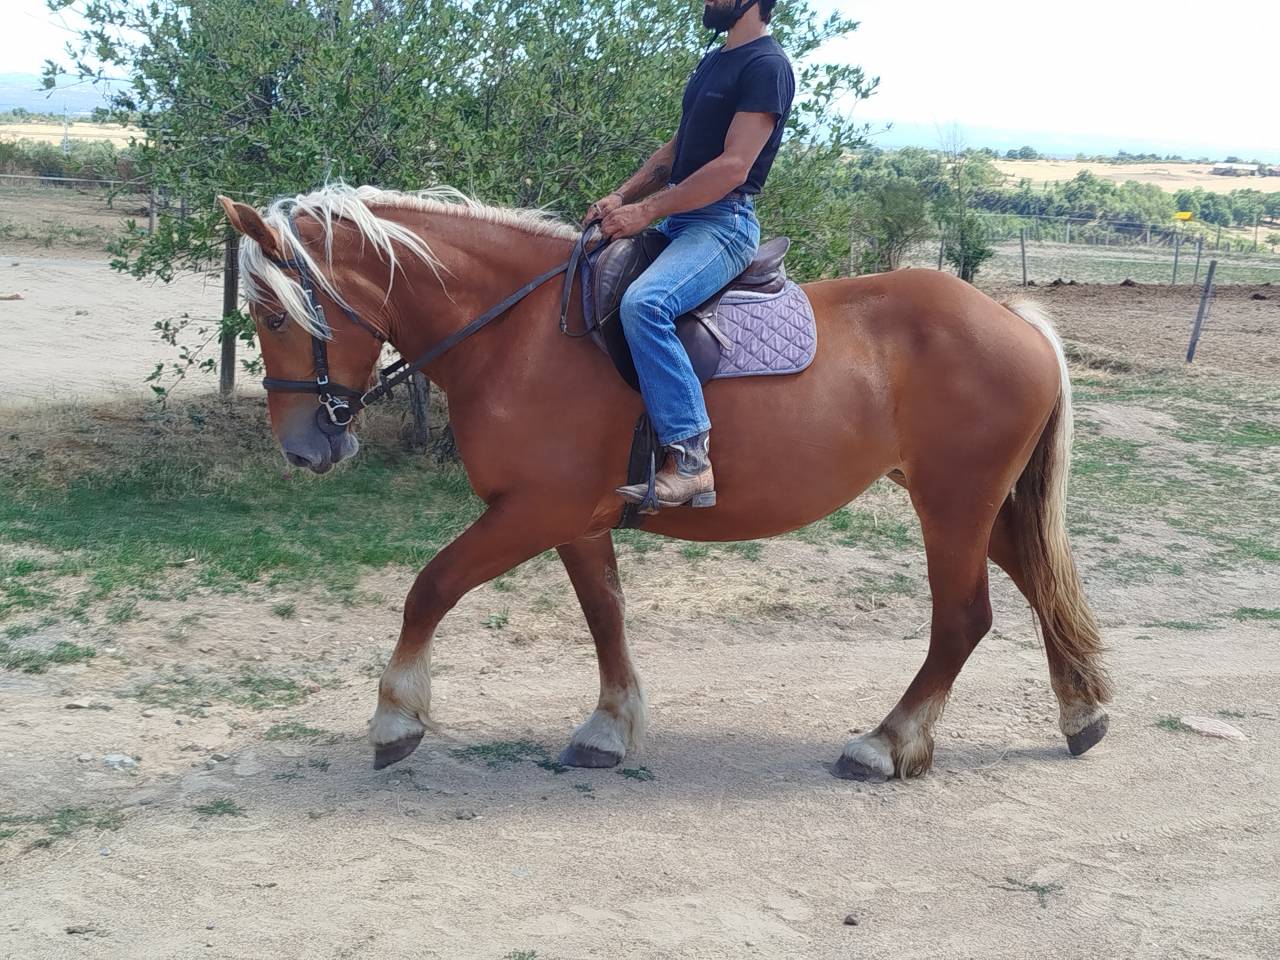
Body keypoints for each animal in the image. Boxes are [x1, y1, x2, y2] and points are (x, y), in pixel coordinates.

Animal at [217, 184, 1112, 782]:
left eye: (274, 313)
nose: (303, 448)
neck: (520, 333)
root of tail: (1010, 319)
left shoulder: (533, 510)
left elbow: (429, 588)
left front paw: (395, 716)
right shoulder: (576, 519)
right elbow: (605, 615)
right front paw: (608, 730)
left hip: (952, 506)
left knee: (963, 620)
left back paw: (887, 743)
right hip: (975, 506)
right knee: (1039, 586)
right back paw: (1081, 712)